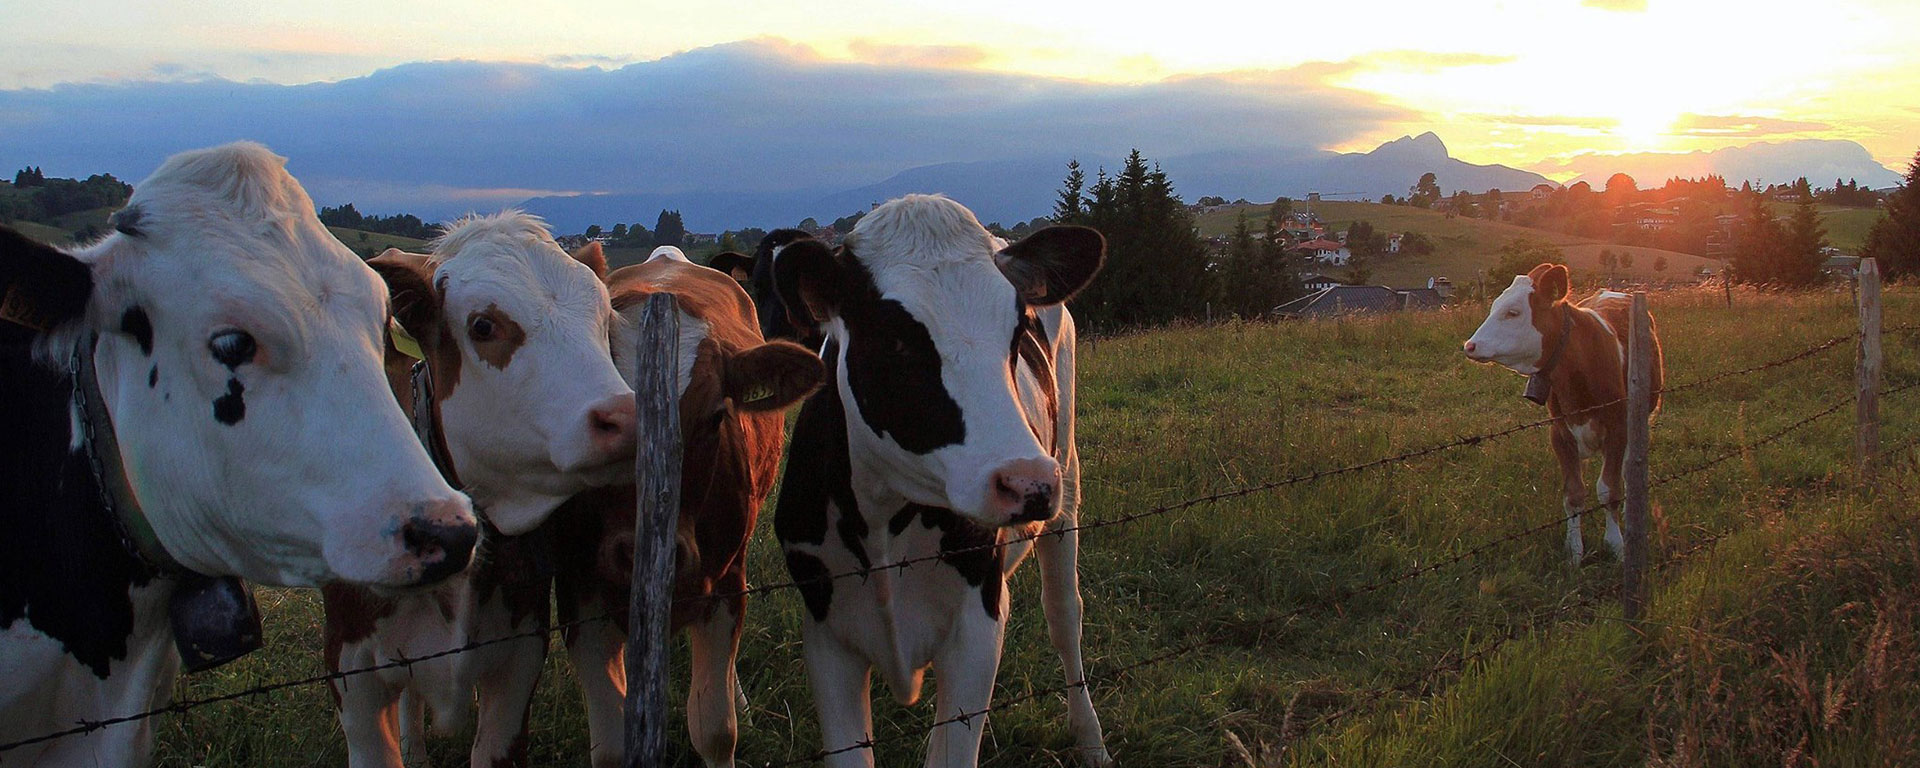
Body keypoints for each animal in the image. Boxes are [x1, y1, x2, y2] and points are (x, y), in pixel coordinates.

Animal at [556, 245, 825, 768]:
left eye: (716, 416)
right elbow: (611, 747)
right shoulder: (580, 600)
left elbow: (715, 727)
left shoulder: (723, 585)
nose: (634, 553)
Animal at [771, 196, 1121, 768]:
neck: (882, 524)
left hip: (1066, 485)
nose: (1027, 482)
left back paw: (1090, 740)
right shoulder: (827, 636)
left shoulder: (979, 622)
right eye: (895, 341)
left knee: (1065, 614)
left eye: (1017, 333)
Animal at [1466, 264, 1666, 564]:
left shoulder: (1617, 429)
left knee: (1630, 470)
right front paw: (1574, 550)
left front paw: (1616, 544)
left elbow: (1610, 489)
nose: (1470, 345)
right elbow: (1573, 495)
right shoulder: (1560, 434)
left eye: (1513, 312)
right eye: (1494, 306)